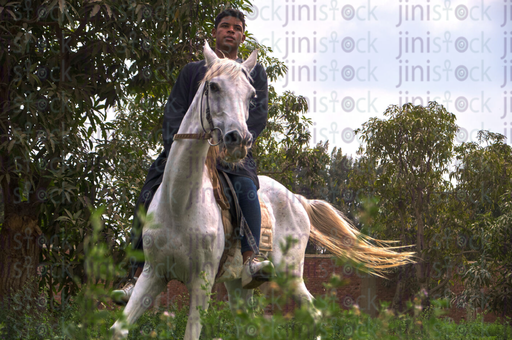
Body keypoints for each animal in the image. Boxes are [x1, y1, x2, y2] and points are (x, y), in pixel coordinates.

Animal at [110, 42, 414, 340]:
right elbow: (117, 330)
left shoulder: (201, 282)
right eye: (214, 86)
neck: (181, 203)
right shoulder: (153, 275)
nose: (239, 139)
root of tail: (297, 200)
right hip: (237, 285)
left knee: (314, 315)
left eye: (251, 95)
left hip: (290, 276)